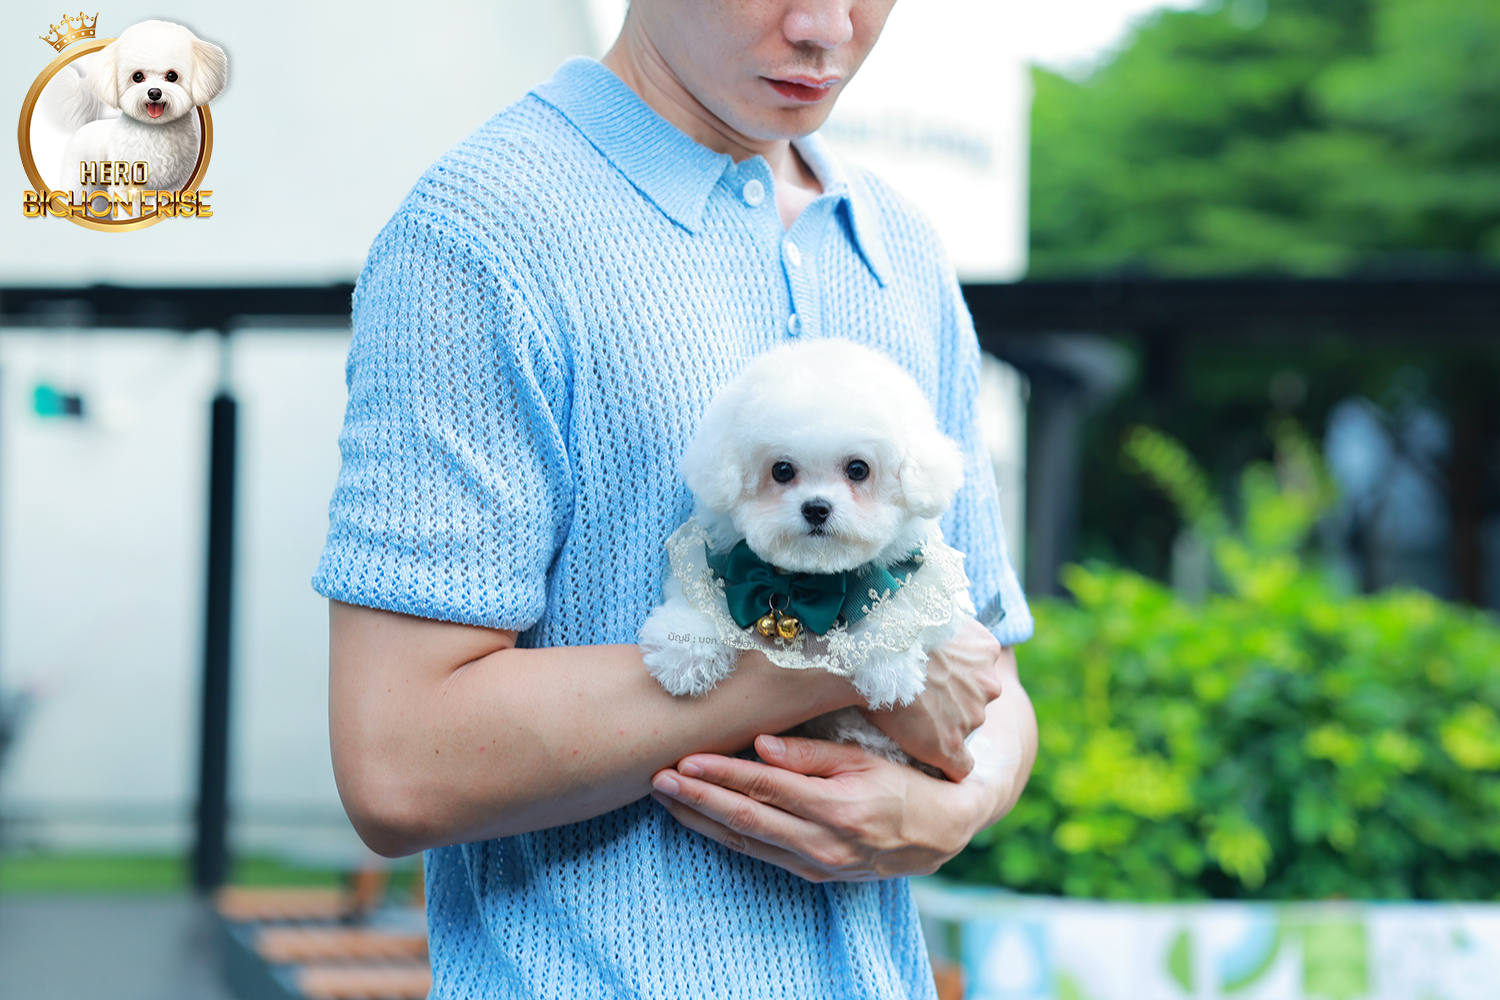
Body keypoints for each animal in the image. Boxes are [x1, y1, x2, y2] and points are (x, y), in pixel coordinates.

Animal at [57, 20, 227, 197]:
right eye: (137, 76)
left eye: (172, 75)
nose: (154, 92)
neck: (156, 131)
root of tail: (86, 125)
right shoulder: (125, 182)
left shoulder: (176, 183)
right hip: (78, 180)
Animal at [638, 339, 978, 769]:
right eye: (782, 470)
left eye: (858, 469)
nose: (816, 508)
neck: (807, 579)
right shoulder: (717, 554)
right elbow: (702, 594)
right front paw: (682, 651)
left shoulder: (930, 575)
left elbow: (903, 605)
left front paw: (887, 664)